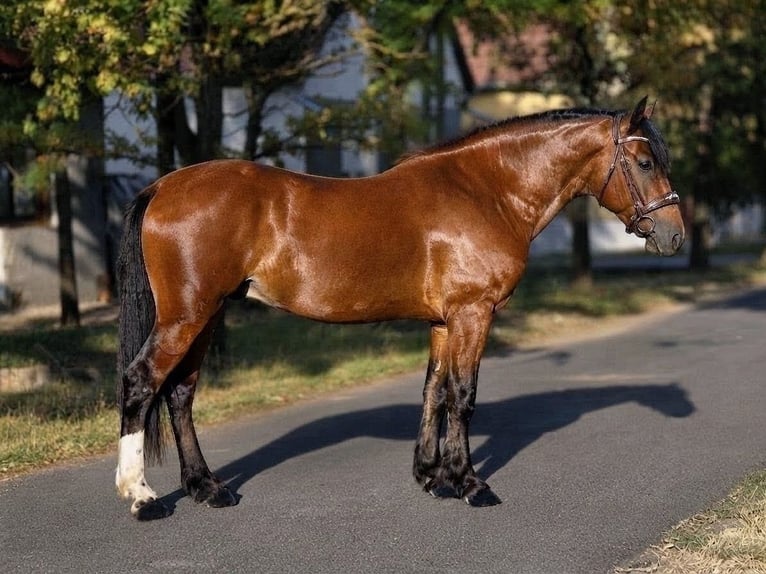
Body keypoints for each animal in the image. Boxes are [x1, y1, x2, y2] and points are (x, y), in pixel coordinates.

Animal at [115, 96, 684, 520]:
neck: (485, 191)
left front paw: (432, 476)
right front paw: (470, 483)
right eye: (645, 162)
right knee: (142, 383)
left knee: (180, 394)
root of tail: (162, 186)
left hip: (207, 315)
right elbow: (462, 396)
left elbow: (434, 390)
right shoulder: (473, 313)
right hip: (188, 316)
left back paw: (207, 488)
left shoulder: (443, 321)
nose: (674, 236)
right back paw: (142, 497)